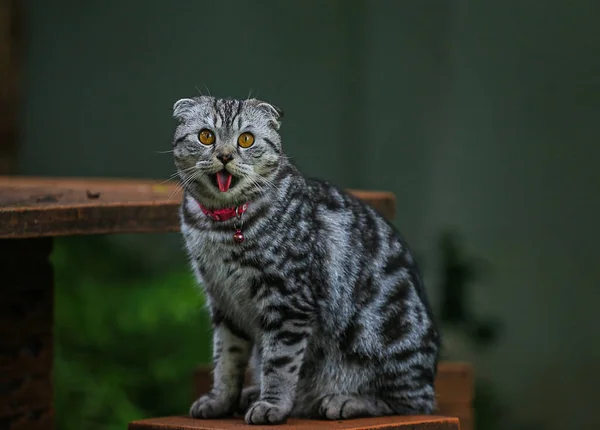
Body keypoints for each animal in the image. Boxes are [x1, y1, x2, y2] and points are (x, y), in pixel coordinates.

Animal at [172, 95, 440, 424]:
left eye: (246, 139)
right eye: (206, 136)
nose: (224, 155)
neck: (220, 226)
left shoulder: (288, 301)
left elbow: (279, 364)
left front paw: (272, 405)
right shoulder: (223, 303)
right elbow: (226, 361)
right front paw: (220, 401)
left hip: (386, 340)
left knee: (412, 403)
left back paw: (342, 401)